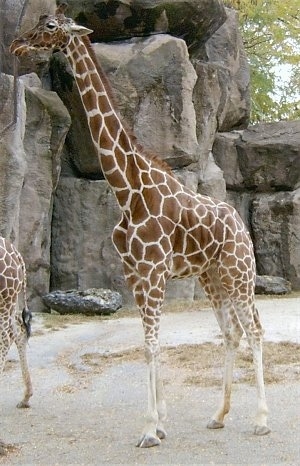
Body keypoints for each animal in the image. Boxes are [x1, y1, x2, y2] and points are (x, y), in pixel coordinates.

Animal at [10, 4, 270, 448]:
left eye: (50, 26)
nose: (16, 44)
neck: (126, 188)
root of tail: (240, 223)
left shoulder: (152, 273)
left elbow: (150, 344)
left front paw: (149, 429)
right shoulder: (134, 274)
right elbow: (148, 342)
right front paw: (160, 423)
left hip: (239, 272)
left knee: (253, 329)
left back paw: (261, 420)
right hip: (212, 277)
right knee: (231, 332)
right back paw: (219, 415)